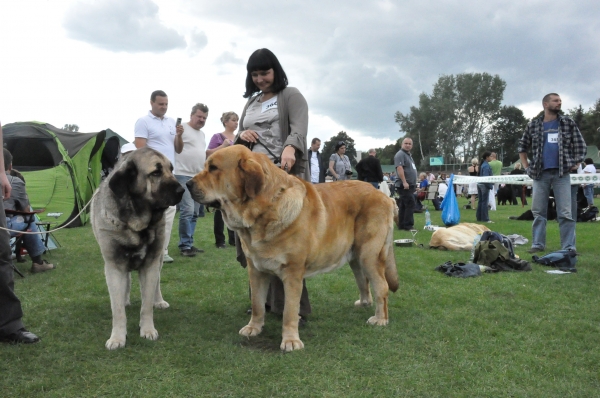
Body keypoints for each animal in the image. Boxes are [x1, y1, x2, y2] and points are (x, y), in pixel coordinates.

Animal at [90, 146, 184, 348]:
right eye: (156, 172)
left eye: (171, 169)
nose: (182, 189)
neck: (137, 223)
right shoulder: (114, 266)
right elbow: (117, 308)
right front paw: (117, 337)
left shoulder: (150, 264)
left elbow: (146, 304)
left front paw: (147, 330)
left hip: (158, 259)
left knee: (156, 283)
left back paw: (159, 300)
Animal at [185, 146, 396, 352]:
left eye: (213, 168)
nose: (187, 184)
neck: (264, 210)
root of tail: (384, 196)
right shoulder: (256, 270)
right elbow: (257, 304)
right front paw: (254, 328)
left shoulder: (293, 273)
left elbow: (289, 310)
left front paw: (290, 341)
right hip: (355, 257)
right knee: (363, 281)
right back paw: (364, 303)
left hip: (369, 255)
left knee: (381, 286)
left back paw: (380, 319)